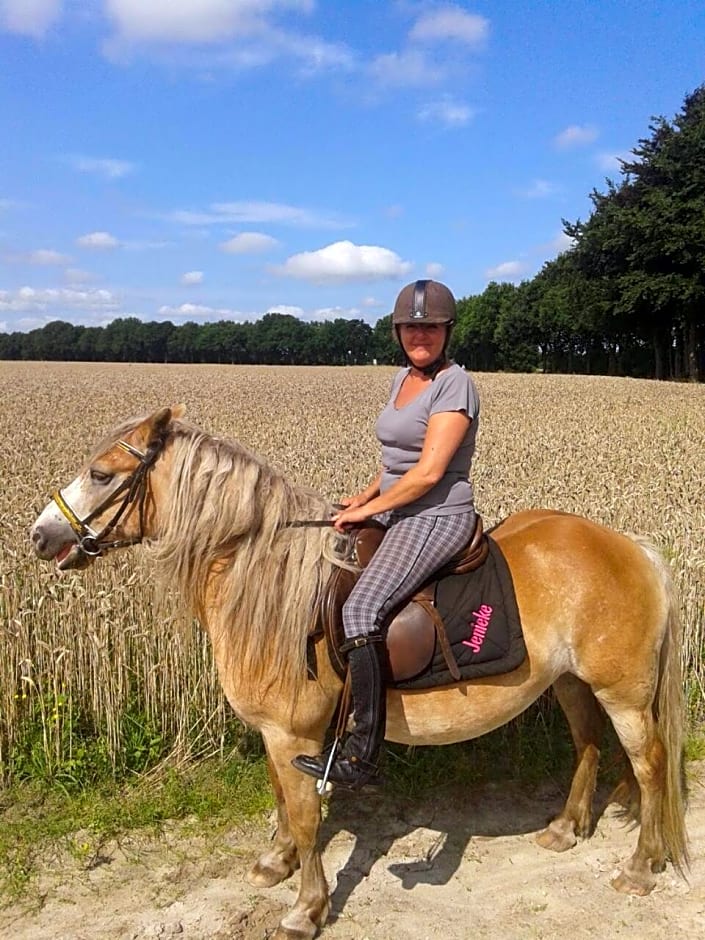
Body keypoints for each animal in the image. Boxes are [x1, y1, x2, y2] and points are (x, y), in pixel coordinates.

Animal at [30, 406, 684, 940]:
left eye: (102, 475)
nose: (40, 535)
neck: (260, 573)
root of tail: (633, 547)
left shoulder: (293, 733)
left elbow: (303, 814)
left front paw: (306, 908)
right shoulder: (275, 735)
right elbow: (280, 797)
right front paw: (276, 862)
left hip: (623, 693)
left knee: (650, 764)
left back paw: (640, 867)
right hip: (570, 681)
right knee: (588, 743)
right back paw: (565, 829)